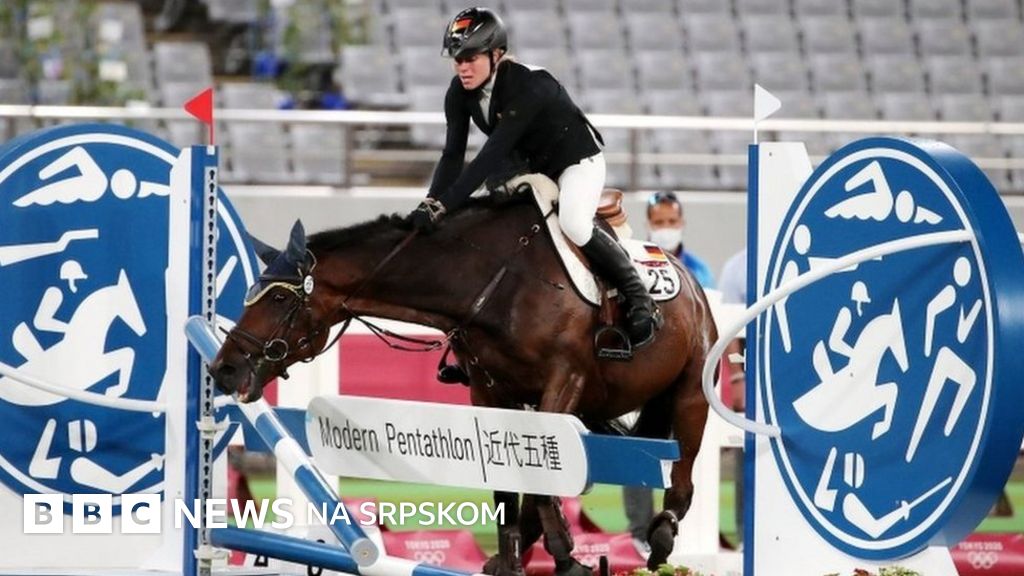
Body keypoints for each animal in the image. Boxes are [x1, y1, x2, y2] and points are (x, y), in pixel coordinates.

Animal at [208, 193, 716, 575]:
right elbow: (511, 481)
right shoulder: (490, 393)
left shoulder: (564, 382)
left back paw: (661, 540)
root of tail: (685, 275)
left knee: (682, 480)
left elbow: (540, 478)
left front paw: (566, 557)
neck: (494, 284)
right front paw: (516, 558)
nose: (224, 369)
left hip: (690, 394)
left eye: (278, 298)